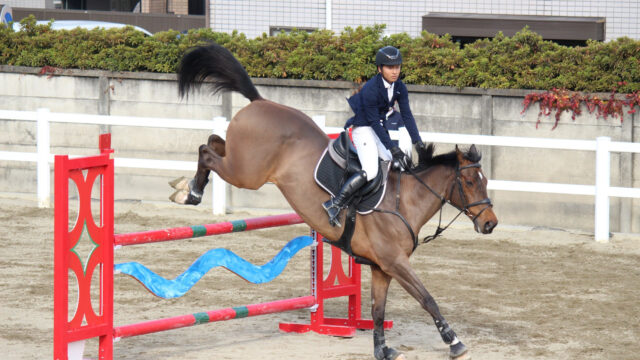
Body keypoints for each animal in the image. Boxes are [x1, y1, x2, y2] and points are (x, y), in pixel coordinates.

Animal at [171, 44, 500, 360]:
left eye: (484, 181)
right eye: (470, 182)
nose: (490, 224)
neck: (404, 200)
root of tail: (260, 102)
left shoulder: (382, 267)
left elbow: (377, 311)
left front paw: (383, 350)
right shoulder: (395, 262)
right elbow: (427, 298)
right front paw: (455, 342)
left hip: (241, 160)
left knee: (214, 141)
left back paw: (187, 187)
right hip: (246, 173)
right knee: (206, 152)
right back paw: (189, 192)